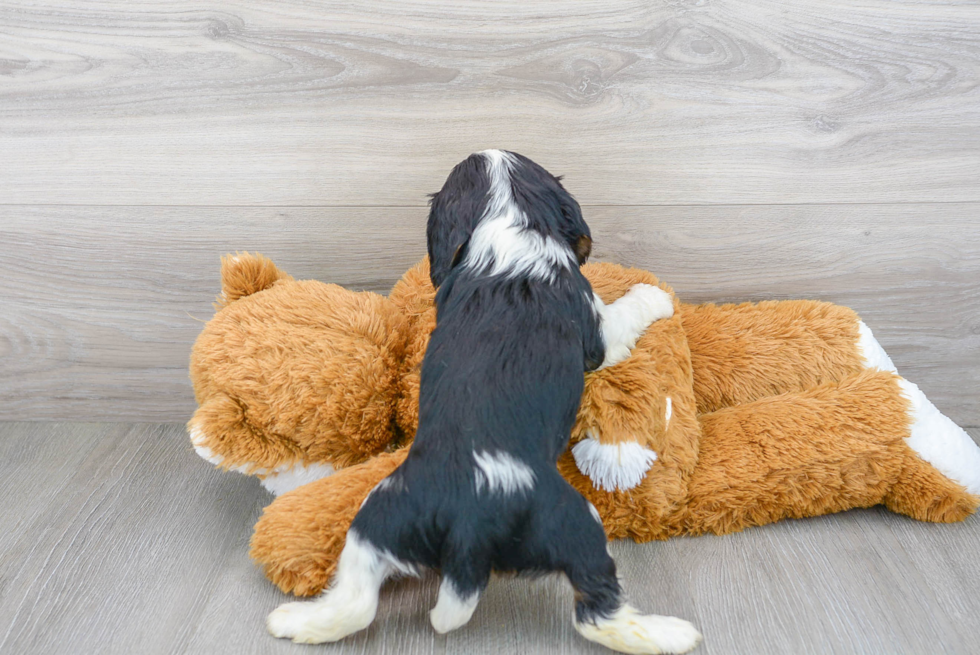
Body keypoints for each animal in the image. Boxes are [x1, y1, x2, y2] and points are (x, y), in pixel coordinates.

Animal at [264, 150, 700, 655]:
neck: (507, 225)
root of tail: (467, 522)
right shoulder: (598, 332)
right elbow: (628, 312)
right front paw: (655, 295)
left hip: (383, 517)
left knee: (356, 602)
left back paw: (291, 621)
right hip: (572, 523)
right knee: (596, 611)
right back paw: (673, 633)